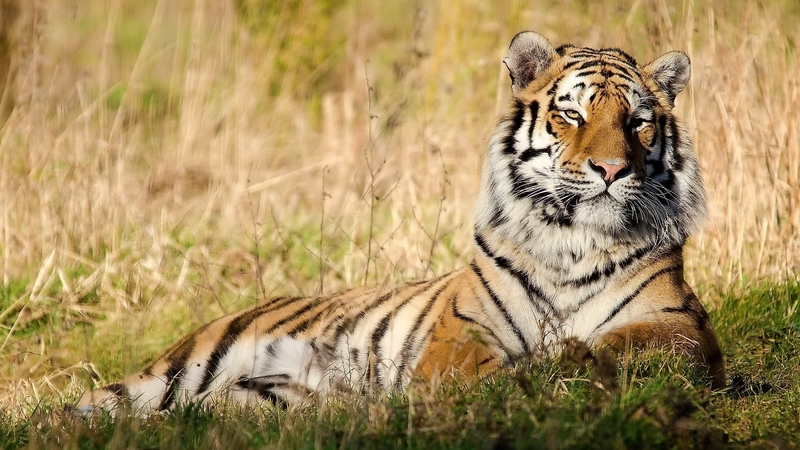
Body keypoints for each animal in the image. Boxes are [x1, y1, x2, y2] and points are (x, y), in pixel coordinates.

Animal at [76, 31, 725, 414]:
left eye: (638, 121)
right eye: (573, 114)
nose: (612, 169)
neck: (573, 241)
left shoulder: (681, 324)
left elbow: (623, 343)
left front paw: (567, 358)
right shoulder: (461, 331)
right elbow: (476, 369)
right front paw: (528, 373)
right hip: (178, 370)